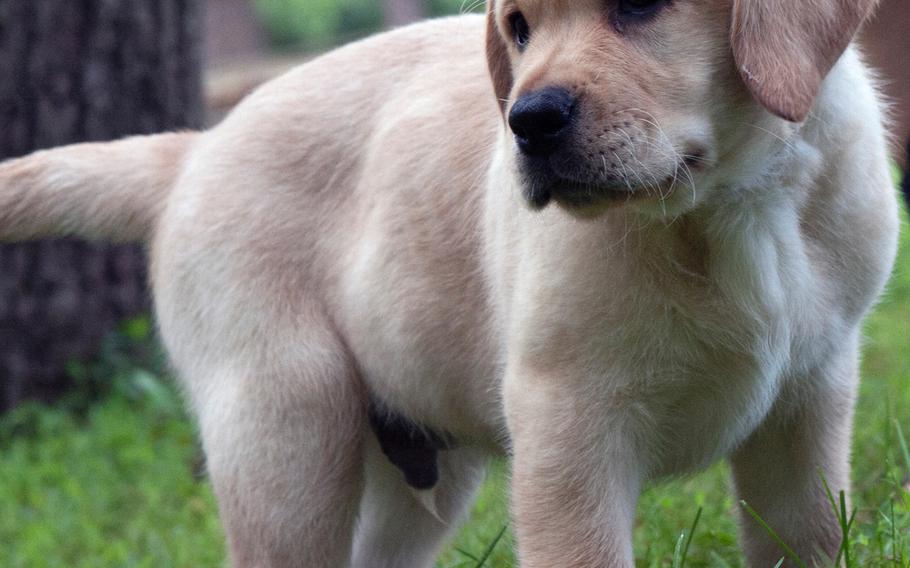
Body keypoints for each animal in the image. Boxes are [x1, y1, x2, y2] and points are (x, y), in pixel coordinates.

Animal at [0, 1, 900, 568]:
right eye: (519, 27)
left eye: (641, 4)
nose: (527, 123)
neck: (728, 207)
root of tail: (195, 150)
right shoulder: (569, 420)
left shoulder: (808, 403)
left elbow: (809, 537)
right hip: (285, 426)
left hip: (415, 461)